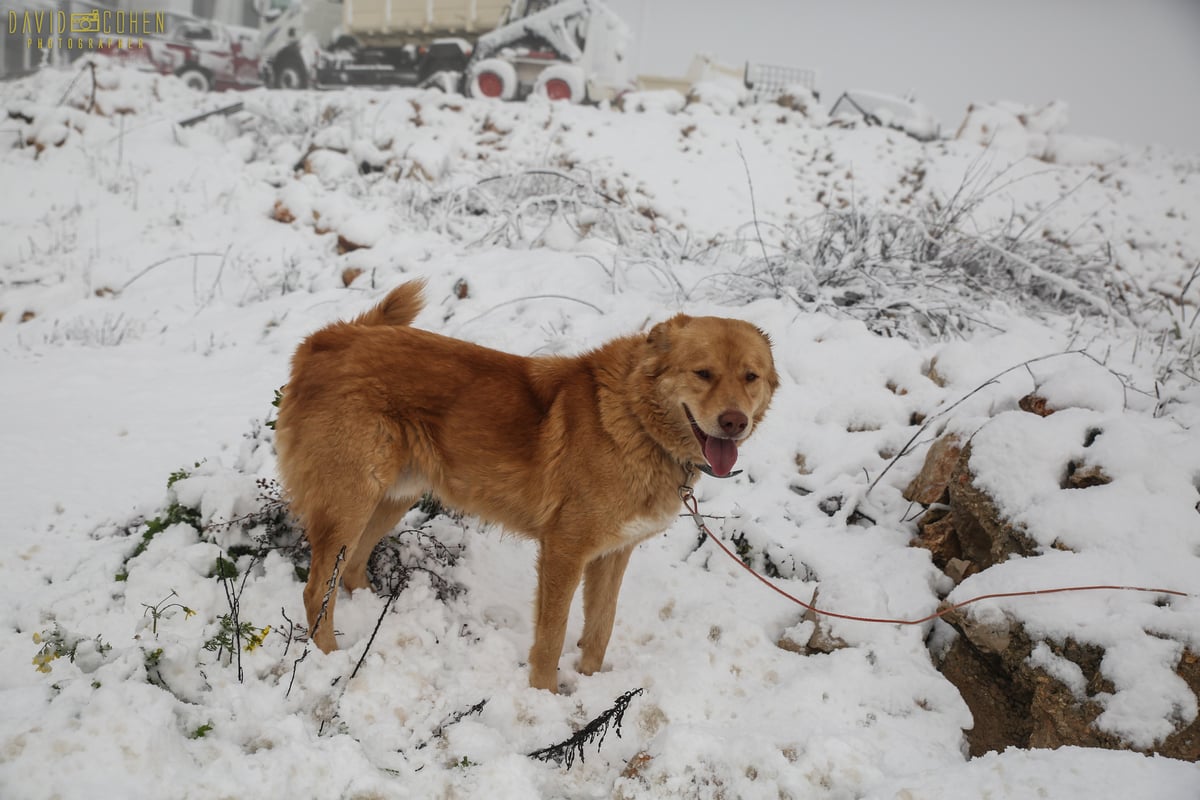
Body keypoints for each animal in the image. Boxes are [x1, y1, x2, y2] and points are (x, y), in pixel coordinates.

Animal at [273, 280, 777, 690]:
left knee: (352, 569)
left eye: (750, 377)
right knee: (316, 591)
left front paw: (589, 688)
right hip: (350, 501)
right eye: (703, 373)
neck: (636, 419)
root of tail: (328, 338)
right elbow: (552, 639)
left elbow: (600, 630)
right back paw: (331, 661)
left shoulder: (613, 554)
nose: (734, 422)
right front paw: (545, 697)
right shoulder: (564, 551)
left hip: (393, 495)